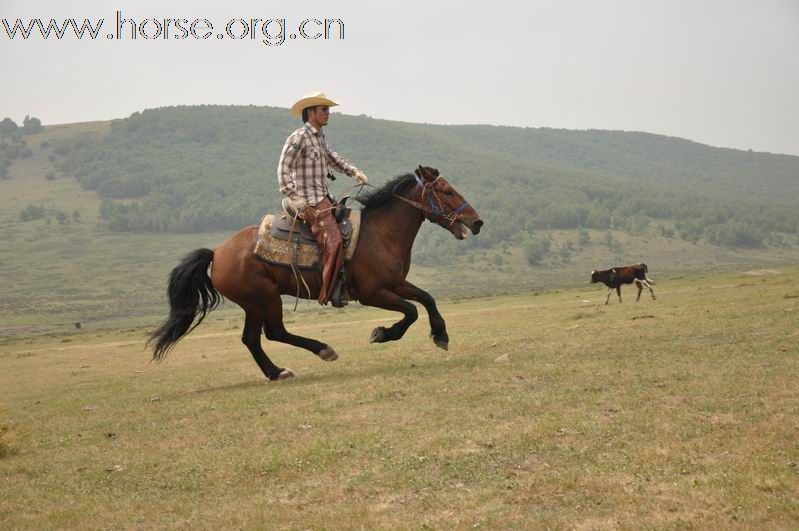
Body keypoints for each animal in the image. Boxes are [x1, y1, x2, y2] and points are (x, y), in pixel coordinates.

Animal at [149, 168, 484, 380]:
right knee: (274, 332)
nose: (477, 221)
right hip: (265, 298)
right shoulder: (372, 293)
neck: (380, 234)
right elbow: (411, 311)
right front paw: (382, 334)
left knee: (252, 339)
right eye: (446, 191)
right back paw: (323, 350)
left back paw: (276, 373)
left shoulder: (397, 283)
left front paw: (441, 334)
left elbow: (426, 299)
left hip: (254, 304)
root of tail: (217, 253)